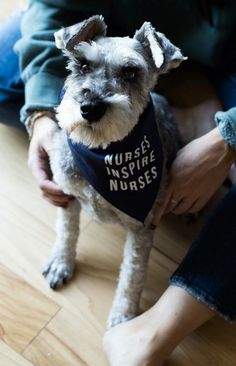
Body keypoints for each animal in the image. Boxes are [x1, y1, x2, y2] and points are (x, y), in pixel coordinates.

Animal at [43, 14, 185, 328]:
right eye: (83, 64)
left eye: (131, 72)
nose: (90, 107)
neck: (103, 151)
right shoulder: (67, 194)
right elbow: (66, 231)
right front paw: (61, 262)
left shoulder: (143, 228)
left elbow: (133, 273)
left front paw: (123, 316)